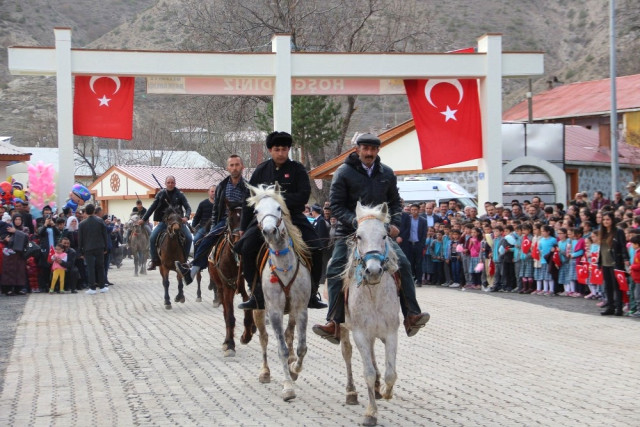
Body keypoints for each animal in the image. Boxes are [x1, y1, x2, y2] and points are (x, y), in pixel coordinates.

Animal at [206, 203, 254, 358]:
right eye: (230, 219)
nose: (239, 240)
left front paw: (247, 334)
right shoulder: (228, 287)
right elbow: (230, 316)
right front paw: (230, 345)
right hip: (222, 288)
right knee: (226, 313)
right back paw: (227, 341)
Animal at [246, 183, 312, 402]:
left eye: (278, 208)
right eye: (256, 211)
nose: (269, 231)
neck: (283, 265)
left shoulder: (301, 308)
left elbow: (301, 347)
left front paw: (294, 369)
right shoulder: (274, 311)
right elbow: (280, 349)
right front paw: (288, 387)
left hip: (291, 311)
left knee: (289, 334)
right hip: (258, 310)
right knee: (264, 338)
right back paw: (265, 372)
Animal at [340, 202, 400, 426]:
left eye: (384, 235)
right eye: (358, 236)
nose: (373, 271)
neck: (374, 293)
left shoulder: (391, 332)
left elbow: (390, 373)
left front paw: (385, 390)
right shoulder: (360, 334)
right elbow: (367, 372)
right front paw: (370, 413)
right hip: (344, 329)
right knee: (347, 353)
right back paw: (351, 393)